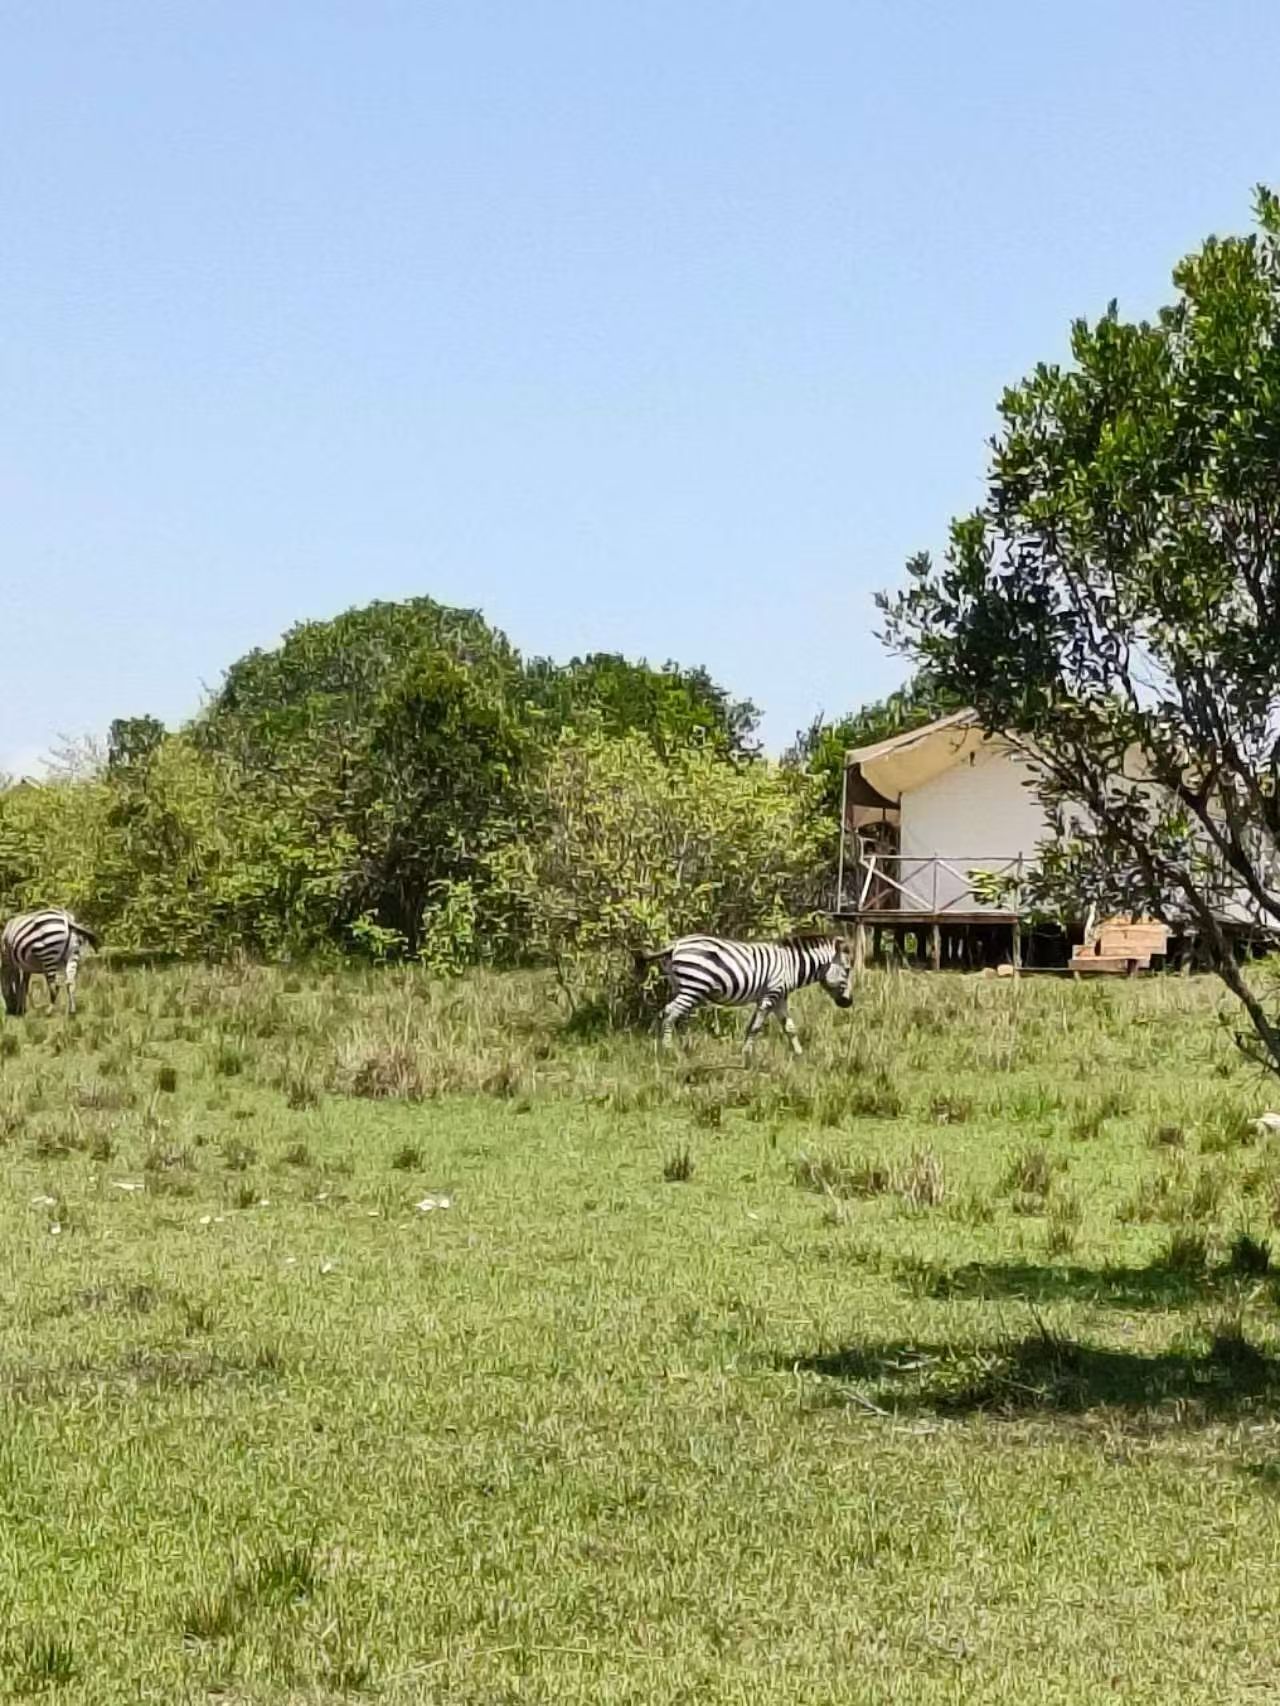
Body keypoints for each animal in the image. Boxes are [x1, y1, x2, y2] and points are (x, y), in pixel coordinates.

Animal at [636, 933, 854, 1056]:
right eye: (848, 970)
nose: (849, 1003)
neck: (792, 965)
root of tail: (676, 945)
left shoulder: (780, 998)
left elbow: (790, 1027)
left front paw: (799, 1055)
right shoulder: (770, 995)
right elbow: (755, 1027)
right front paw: (746, 1055)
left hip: (681, 987)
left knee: (665, 1011)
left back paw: (660, 1045)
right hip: (693, 987)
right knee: (670, 1013)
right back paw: (668, 1050)